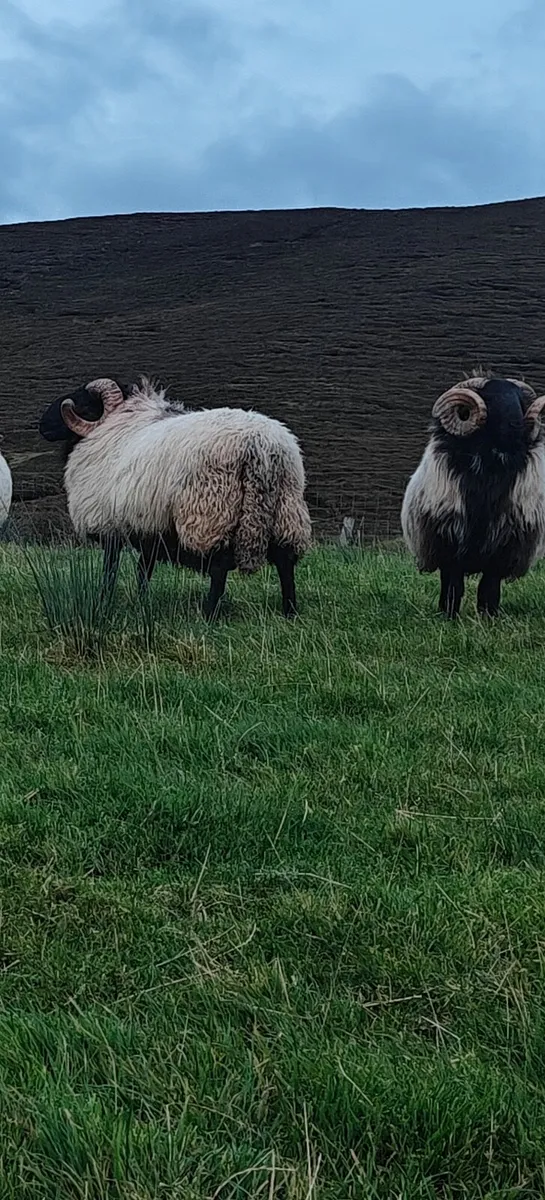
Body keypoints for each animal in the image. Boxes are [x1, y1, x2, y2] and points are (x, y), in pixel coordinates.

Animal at [38, 376, 312, 619]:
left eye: (82, 402)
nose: (42, 425)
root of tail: (260, 447)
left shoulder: (110, 525)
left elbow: (110, 569)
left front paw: (104, 601)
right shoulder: (148, 525)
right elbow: (143, 569)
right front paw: (142, 602)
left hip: (212, 510)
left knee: (219, 566)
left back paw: (209, 615)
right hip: (286, 510)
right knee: (285, 561)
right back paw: (290, 611)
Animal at [401, 373, 545, 618]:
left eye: (520, 401)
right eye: (491, 399)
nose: (518, 426)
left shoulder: (501, 548)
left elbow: (489, 587)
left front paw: (488, 617)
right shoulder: (449, 544)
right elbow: (453, 585)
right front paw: (449, 616)